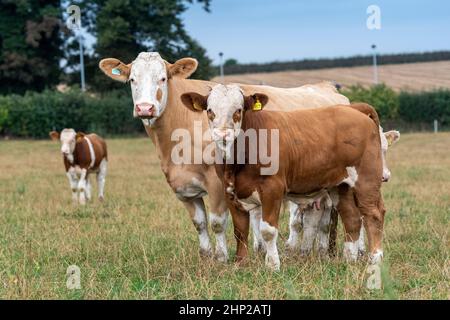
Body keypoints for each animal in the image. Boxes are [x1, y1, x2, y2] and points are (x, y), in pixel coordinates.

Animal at [99, 52, 352, 262]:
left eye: (162, 78)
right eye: (132, 80)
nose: (145, 108)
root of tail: (327, 88)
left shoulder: (217, 183)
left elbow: (218, 223)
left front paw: (222, 258)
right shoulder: (183, 188)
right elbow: (199, 223)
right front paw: (206, 256)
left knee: (322, 217)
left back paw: (316, 251)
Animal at [181, 83, 384, 270]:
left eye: (238, 110)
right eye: (210, 111)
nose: (223, 135)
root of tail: (354, 110)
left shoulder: (272, 189)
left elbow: (268, 230)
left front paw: (272, 265)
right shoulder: (230, 191)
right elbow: (240, 230)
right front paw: (240, 263)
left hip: (366, 179)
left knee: (374, 215)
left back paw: (375, 259)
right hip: (341, 186)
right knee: (352, 219)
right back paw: (349, 260)